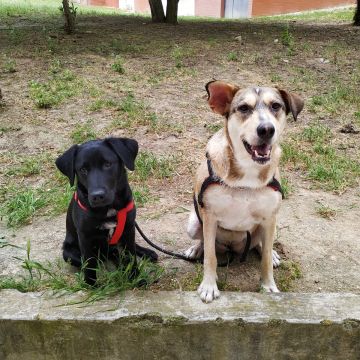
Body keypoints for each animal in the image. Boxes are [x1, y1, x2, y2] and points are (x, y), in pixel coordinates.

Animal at [56, 137, 158, 284]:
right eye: (83, 169)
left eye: (108, 164)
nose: (97, 196)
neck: (109, 209)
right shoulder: (85, 237)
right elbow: (89, 264)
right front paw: (91, 286)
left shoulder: (128, 227)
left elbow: (131, 256)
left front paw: (135, 278)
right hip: (69, 253)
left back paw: (145, 253)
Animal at [186, 80, 304, 302]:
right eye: (243, 108)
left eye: (276, 106)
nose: (266, 129)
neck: (247, 174)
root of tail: (234, 249)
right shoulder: (210, 217)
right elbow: (210, 257)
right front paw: (209, 286)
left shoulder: (269, 218)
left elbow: (265, 259)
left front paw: (268, 286)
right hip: (194, 223)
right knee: (205, 242)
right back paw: (195, 249)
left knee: (262, 245)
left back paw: (273, 254)